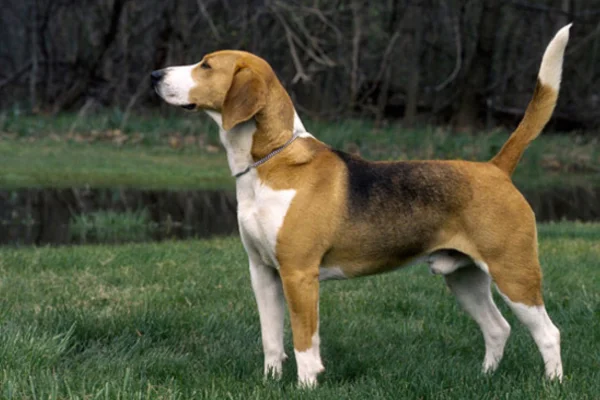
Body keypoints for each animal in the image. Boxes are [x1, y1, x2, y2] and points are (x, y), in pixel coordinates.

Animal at [151, 25, 572, 388]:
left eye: (206, 65)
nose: (155, 74)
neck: (271, 160)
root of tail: (495, 167)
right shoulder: (263, 273)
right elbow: (271, 339)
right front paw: (269, 382)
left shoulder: (298, 275)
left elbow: (304, 342)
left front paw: (306, 386)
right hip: (464, 276)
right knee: (498, 328)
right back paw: (484, 378)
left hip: (513, 273)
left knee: (549, 332)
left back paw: (552, 383)